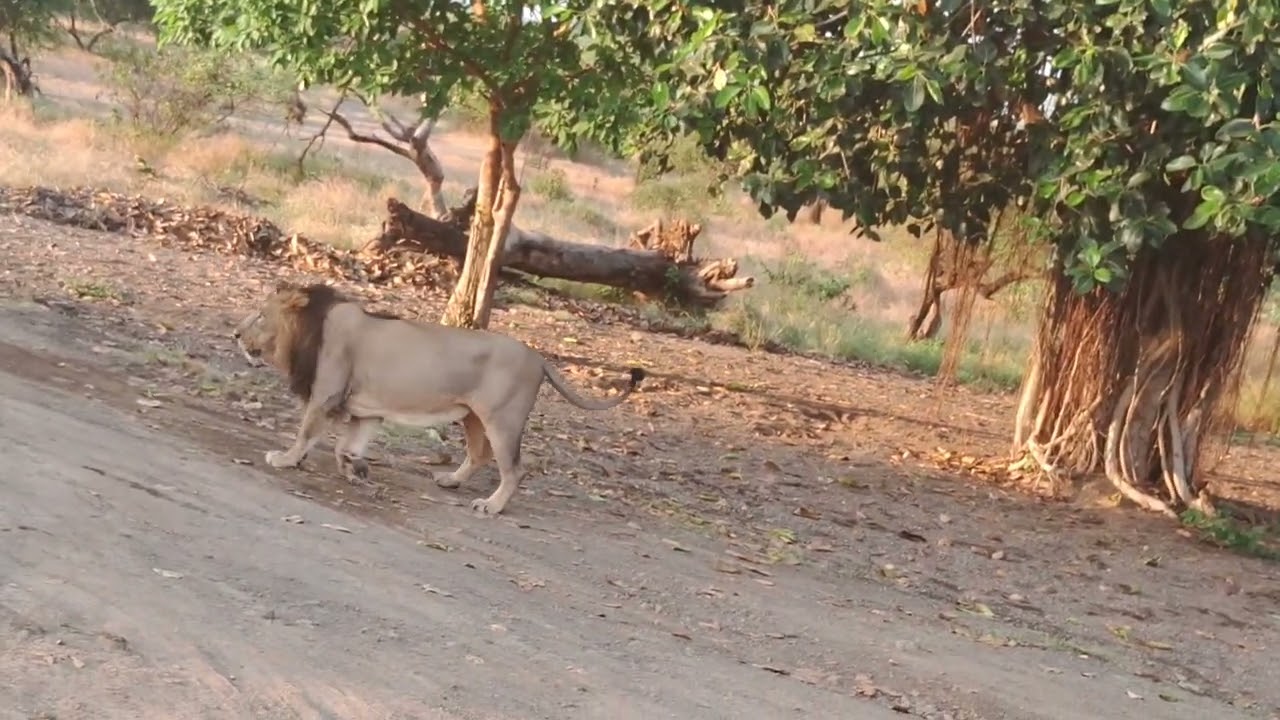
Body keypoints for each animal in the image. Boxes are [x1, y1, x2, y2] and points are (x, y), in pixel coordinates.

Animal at [232, 282, 646, 517]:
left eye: (259, 316)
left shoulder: (327, 392)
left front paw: (285, 459)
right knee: (479, 455)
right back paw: (451, 481)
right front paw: (354, 469)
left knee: (514, 469)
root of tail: (540, 357)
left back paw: (491, 506)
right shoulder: (366, 410)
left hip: (503, 420)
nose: (235, 333)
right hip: (473, 417)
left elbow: (306, 432)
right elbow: (346, 445)